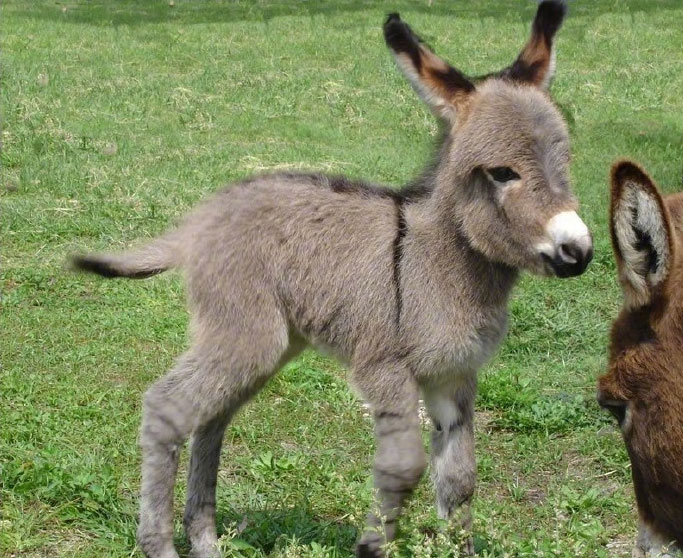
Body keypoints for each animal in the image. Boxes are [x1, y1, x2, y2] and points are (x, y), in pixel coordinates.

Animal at [72, 2, 592, 556]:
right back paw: (162, 544)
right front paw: (370, 545)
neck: (442, 261)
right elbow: (404, 467)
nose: (577, 251)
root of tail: (201, 217)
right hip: (245, 334)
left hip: (270, 345)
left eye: (564, 160)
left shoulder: (454, 376)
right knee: (167, 408)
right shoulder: (384, 367)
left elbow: (459, 480)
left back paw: (206, 540)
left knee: (211, 420)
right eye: (501, 173)